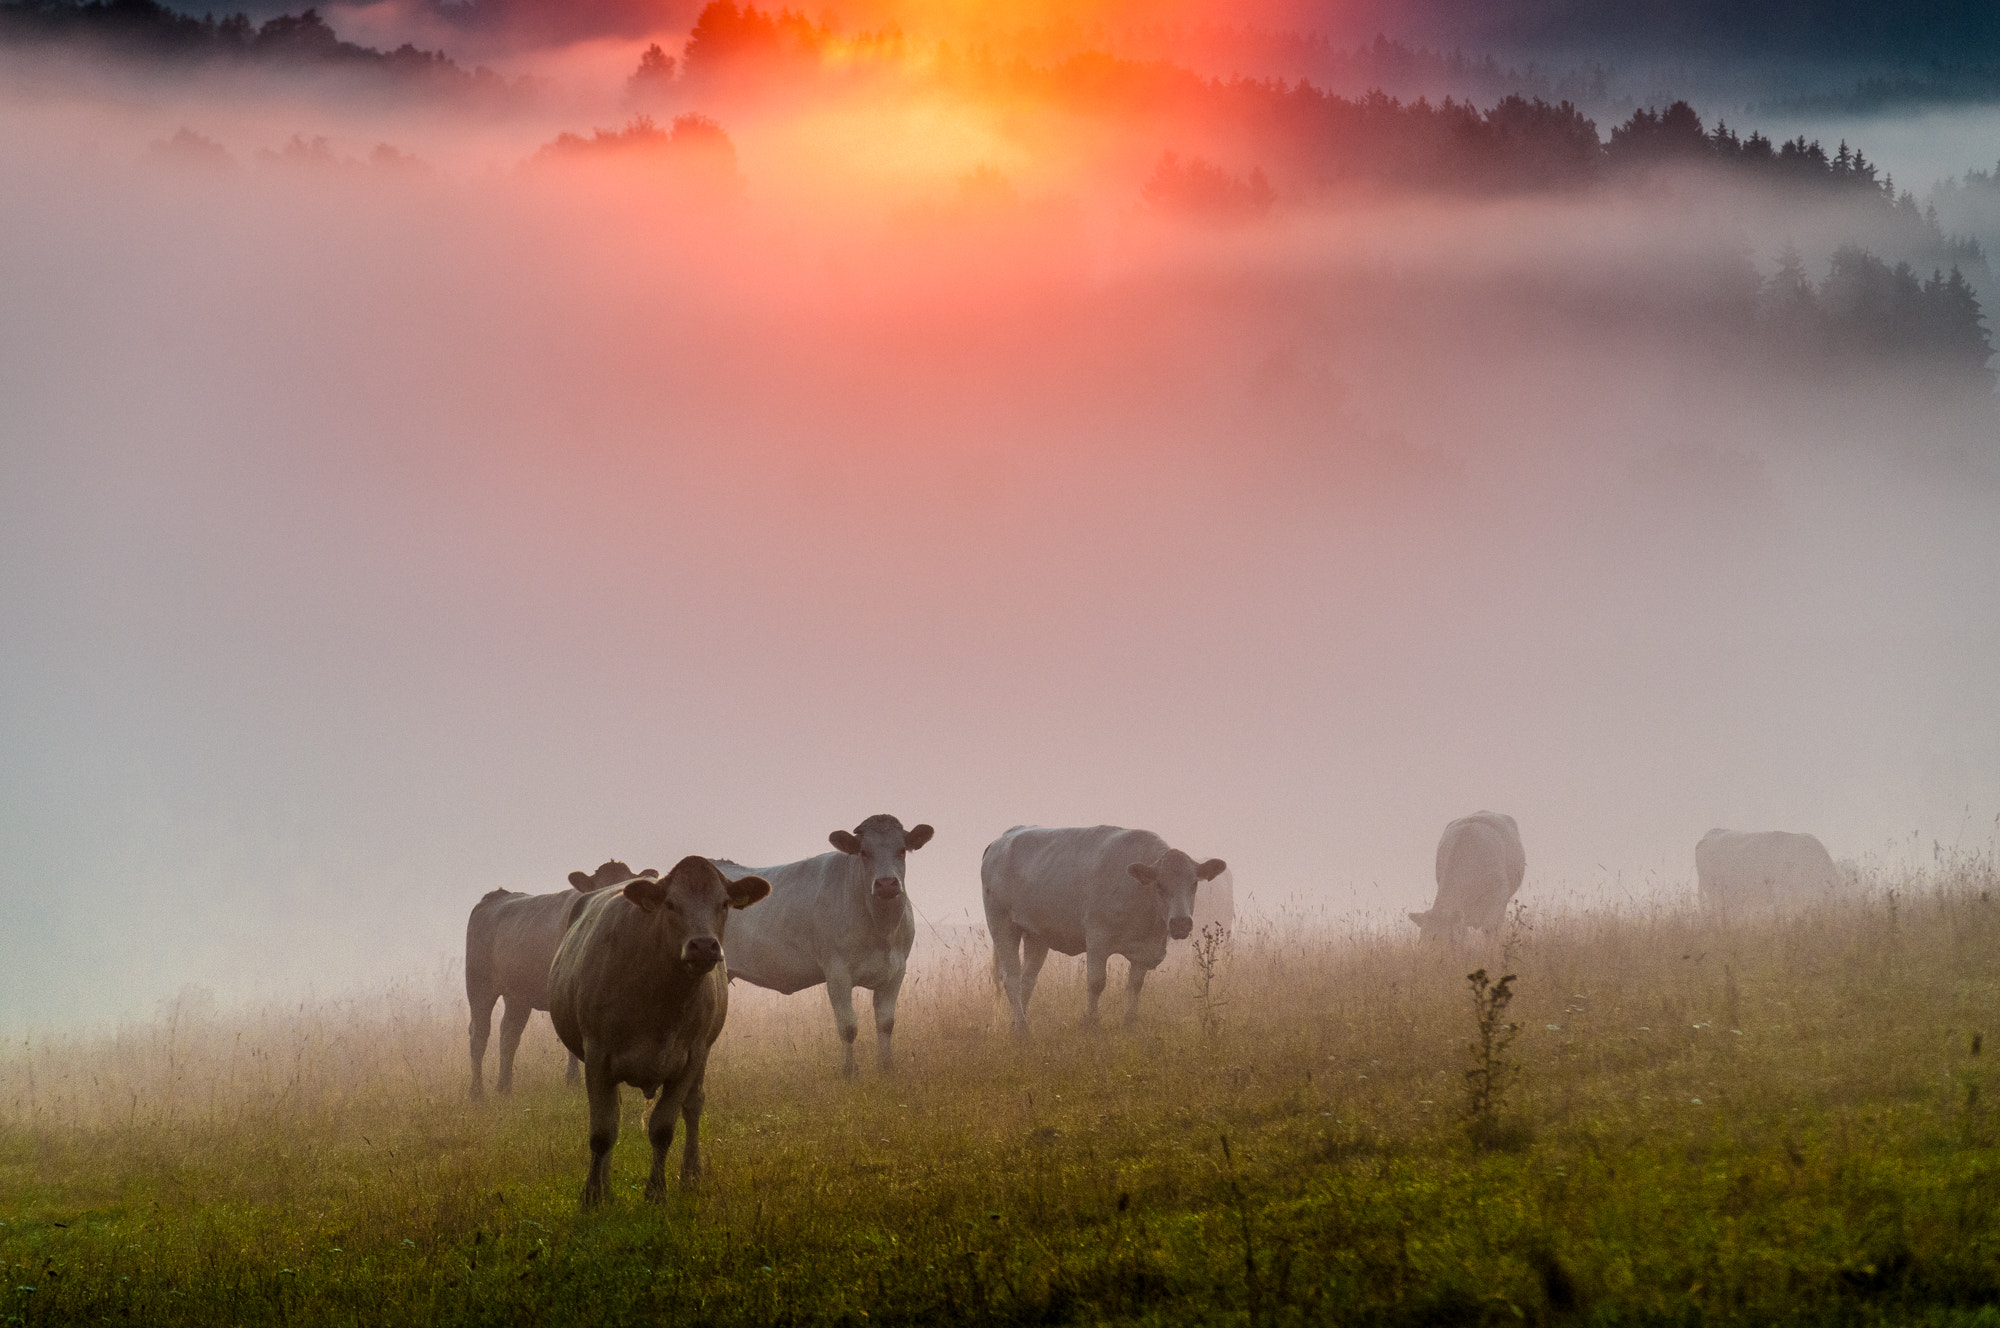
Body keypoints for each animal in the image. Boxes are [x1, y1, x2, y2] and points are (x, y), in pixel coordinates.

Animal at [720, 808, 936, 1080]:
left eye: (902, 850)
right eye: (864, 852)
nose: (887, 883)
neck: (881, 930)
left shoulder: (896, 971)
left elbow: (886, 1023)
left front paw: (886, 1068)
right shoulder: (837, 972)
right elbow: (848, 1026)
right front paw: (849, 1073)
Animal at [976, 824, 1224, 1032]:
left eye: (1194, 883)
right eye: (1159, 885)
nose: (1181, 922)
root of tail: (1002, 839)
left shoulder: (1143, 951)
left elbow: (1135, 985)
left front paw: (1129, 1023)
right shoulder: (1097, 940)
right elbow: (1096, 982)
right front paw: (1091, 1022)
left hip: (1036, 935)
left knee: (1028, 979)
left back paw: (1016, 1023)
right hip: (1001, 924)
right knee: (1011, 977)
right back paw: (1023, 1030)